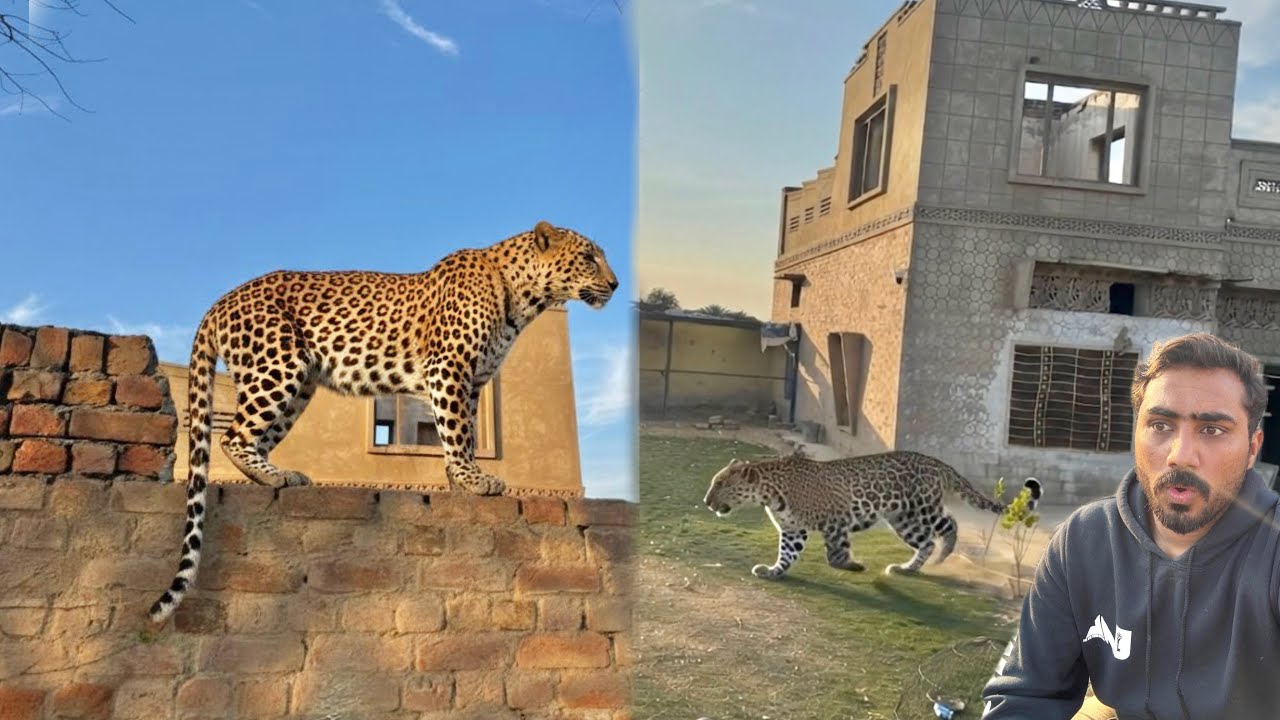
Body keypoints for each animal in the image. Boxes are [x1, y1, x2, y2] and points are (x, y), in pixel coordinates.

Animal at [148, 220, 618, 623]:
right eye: (589, 257)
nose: (614, 284)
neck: (523, 296)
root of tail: (219, 302)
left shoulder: (473, 382)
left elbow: (461, 430)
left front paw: (457, 481)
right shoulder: (449, 368)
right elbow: (458, 431)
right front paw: (473, 479)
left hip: (299, 385)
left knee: (255, 436)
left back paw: (279, 475)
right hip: (278, 366)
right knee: (233, 435)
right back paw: (274, 475)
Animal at [702, 450, 1041, 578]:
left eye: (720, 484)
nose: (706, 501)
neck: (770, 492)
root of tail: (937, 462)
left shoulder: (835, 520)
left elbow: (835, 552)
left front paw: (851, 565)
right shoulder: (793, 530)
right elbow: (787, 554)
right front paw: (773, 571)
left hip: (921, 509)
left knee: (948, 526)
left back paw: (942, 555)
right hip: (903, 519)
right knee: (927, 541)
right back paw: (908, 568)